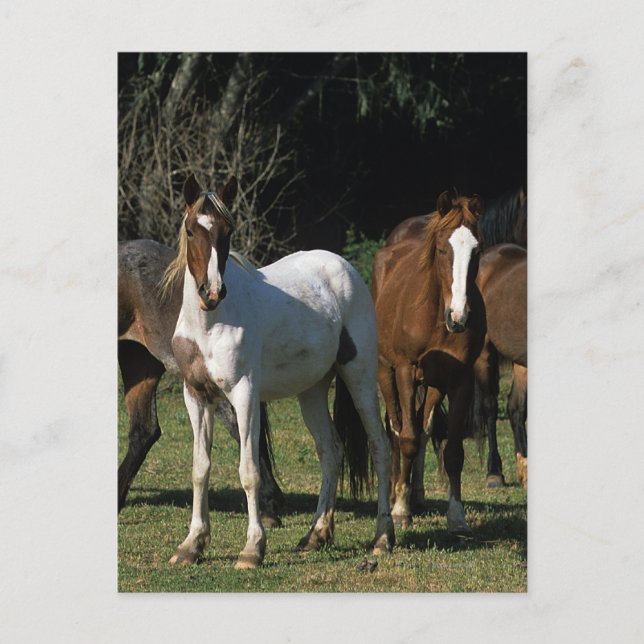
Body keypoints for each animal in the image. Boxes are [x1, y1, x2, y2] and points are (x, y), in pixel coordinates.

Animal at [162, 174, 394, 569]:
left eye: (226, 231)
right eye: (192, 230)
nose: (212, 292)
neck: (210, 324)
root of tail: (345, 268)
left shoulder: (244, 395)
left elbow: (249, 471)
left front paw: (252, 549)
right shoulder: (196, 396)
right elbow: (200, 469)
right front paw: (192, 545)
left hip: (360, 377)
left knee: (380, 446)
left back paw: (382, 538)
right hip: (312, 391)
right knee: (331, 450)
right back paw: (315, 535)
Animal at [373, 191, 486, 532]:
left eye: (477, 249)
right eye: (442, 249)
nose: (459, 316)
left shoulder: (460, 380)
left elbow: (453, 452)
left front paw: (457, 517)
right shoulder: (406, 371)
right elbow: (407, 439)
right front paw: (400, 510)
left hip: (433, 384)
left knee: (423, 428)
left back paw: (416, 495)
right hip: (386, 373)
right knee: (396, 429)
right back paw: (396, 495)